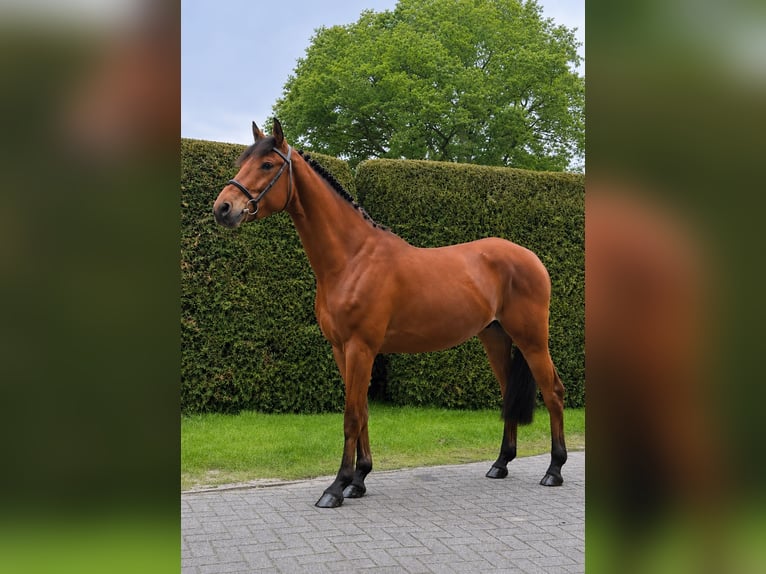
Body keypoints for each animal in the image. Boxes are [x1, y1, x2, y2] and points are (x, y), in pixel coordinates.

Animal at [213, 119, 567, 508]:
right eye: (242, 163)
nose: (223, 208)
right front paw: (359, 480)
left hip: (532, 339)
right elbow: (363, 411)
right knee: (508, 395)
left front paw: (336, 487)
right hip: (495, 337)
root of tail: (531, 258)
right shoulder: (342, 349)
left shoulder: (361, 347)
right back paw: (500, 464)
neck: (352, 259)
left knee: (554, 392)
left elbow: (351, 416)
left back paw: (554, 470)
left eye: (266, 165)